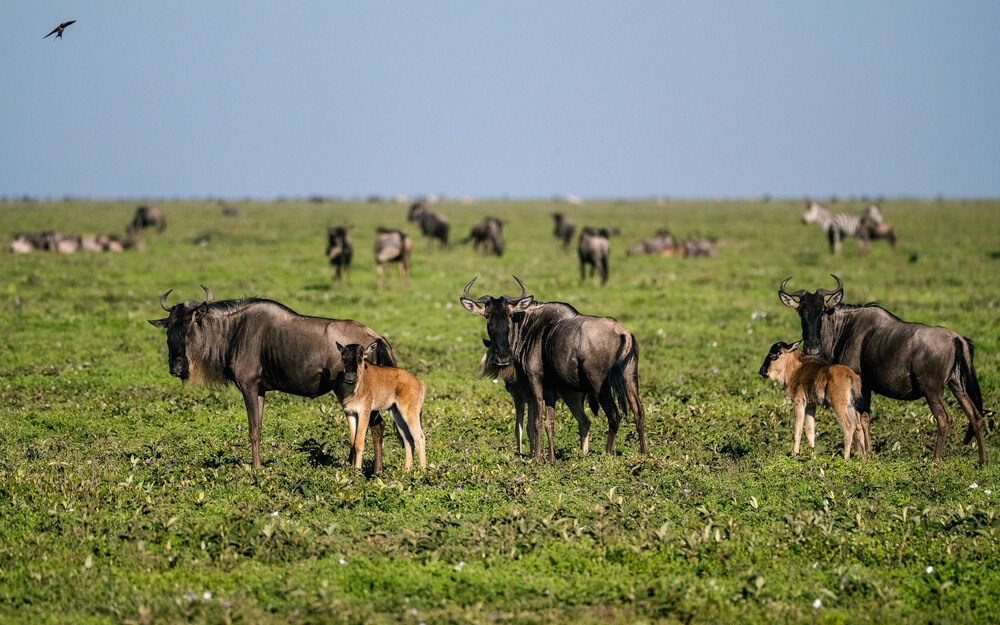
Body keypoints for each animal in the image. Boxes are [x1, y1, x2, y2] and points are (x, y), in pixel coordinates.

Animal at [149, 287, 397, 471]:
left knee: (375, 425)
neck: (234, 332)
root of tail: (376, 337)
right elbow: (258, 430)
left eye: (190, 326)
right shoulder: (259, 390)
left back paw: (369, 472)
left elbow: (252, 430)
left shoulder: (248, 387)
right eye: (169, 329)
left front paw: (256, 469)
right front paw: (258, 467)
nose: (176, 368)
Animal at [336, 342, 427, 471]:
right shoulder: (350, 413)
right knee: (408, 440)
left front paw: (357, 471)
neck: (355, 389)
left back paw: (422, 472)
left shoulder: (365, 411)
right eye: (343, 358)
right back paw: (406, 471)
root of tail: (420, 383)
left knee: (419, 438)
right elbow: (353, 442)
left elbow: (359, 443)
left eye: (360, 358)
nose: (349, 378)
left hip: (410, 413)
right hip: (397, 415)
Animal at [460, 277, 646, 462]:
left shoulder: (535, 378)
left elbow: (536, 421)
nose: (503, 356)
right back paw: (644, 454)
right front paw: (551, 459)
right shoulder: (550, 385)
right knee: (638, 412)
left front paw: (536, 458)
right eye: (487, 316)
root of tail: (623, 332)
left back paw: (607, 454)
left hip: (599, 384)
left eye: (509, 315)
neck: (530, 328)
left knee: (614, 415)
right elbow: (549, 422)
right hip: (630, 378)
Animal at [779, 275, 993, 464]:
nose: (812, 348)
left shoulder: (859, 384)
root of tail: (957, 338)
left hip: (932, 390)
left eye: (822, 310)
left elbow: (858, 417)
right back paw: (983, 461)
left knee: (944, 418)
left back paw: (936, 460)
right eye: (801, 312)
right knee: (975, 415)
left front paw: (859, 453)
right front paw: (868, 452)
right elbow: (865, 418)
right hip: (957, 385)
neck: (844, 328)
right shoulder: (865, 387)